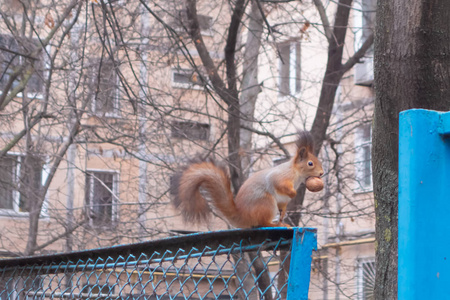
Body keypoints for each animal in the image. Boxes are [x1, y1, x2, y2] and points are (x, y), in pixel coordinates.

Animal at [171, 131, 324, 227]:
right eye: (310, 163)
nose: (322, 173)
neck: (297, 175)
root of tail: (243, 216)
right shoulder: (281, 176)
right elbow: (279, 184)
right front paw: (293, 193)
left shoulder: (283, 201)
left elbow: (284, 206)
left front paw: (284, 215)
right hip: (266, 202)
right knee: (262, 222)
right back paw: (273, 224)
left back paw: (280, 223)